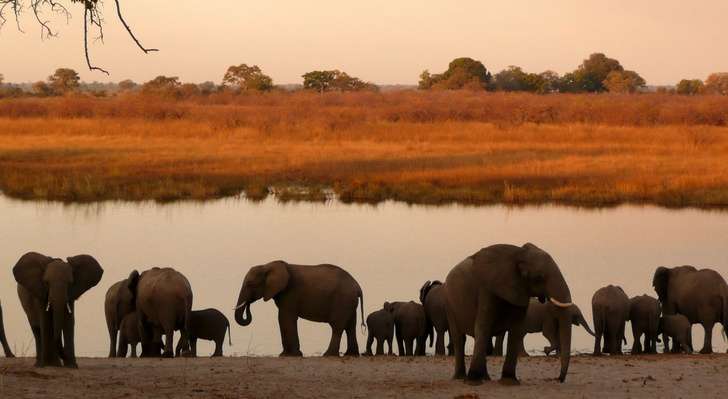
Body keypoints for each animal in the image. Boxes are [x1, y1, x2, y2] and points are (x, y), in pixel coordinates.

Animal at [233, 260, 364, 358]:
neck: (267, 265)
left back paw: (328, 355)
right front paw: (287, 354)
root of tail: (358, 286)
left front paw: (288, 355)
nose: (248, 304)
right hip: (349, 302)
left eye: (250, 284)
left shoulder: (290, 293)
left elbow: (284, 318)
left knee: (337, 326)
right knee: (350, 326)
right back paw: (351, 355)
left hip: (342, 300)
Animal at [444, 242, 576, 386]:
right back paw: (461, 378)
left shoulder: (520, 290)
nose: (559, 379)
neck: (518, 254)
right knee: (459, 338)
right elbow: (483, 327)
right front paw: (473, 382)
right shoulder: (487, 289)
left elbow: (516, 329)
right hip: (450, 304)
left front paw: (509, 381)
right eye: (539, 277)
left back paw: (485, 378)